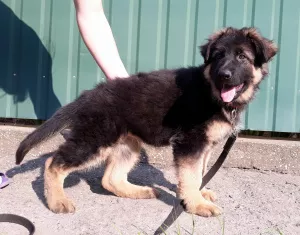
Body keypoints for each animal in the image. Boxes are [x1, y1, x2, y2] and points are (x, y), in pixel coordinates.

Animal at [15, 27, 278, 217]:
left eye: (242, 57)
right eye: (218, 57)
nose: (224, 75)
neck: (210, 91)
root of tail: (88, 95)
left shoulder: (205, 145)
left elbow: (200, 172)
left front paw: (200, 193)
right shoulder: (190, 143)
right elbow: (191, 175)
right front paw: (196, 204)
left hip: (128, 144)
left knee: (110, 179)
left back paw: (142, 191)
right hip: (96, 140)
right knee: (53, 162)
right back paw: (57, 201)